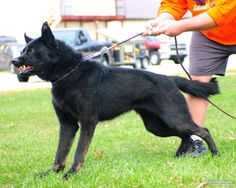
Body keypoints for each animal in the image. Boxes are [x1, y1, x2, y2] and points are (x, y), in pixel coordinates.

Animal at [12, 22, 219, 178]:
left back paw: (215, 154)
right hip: (157, 126)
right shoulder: (67, 125)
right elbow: (60, 153)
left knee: (203, 130)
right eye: (23, 50)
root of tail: (170, 78)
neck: (68, 72)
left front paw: (71, 174)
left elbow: (78, 152)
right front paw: (52, 173)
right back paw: (179, 156)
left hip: (174, 119)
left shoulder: (87, 123)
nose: (14, 61)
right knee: (186, 135)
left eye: (31, 51)